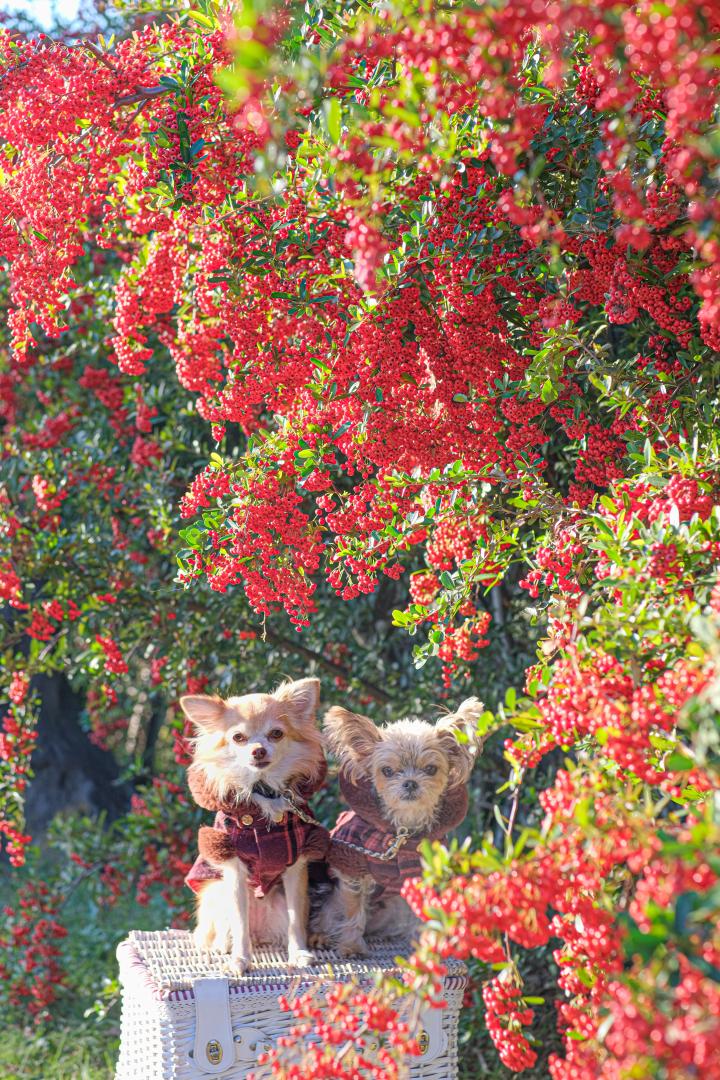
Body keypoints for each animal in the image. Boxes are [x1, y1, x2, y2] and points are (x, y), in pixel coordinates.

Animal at [181, 673, 328, 972]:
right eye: (238, 737)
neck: (264, 793)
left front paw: (299, 953)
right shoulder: (235, 871)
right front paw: (240, 959)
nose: (258, 750)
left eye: (276, 734)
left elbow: (296, 921)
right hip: (217, 893)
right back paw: (223, 944)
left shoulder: (296, 869)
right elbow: (240, 924)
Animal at [315, 699, 483, 954]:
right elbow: (353, 910)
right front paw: (352, 946)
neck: (403, 832)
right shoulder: (352, 868)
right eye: (387, 771)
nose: (410, 783)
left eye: (431, 769)